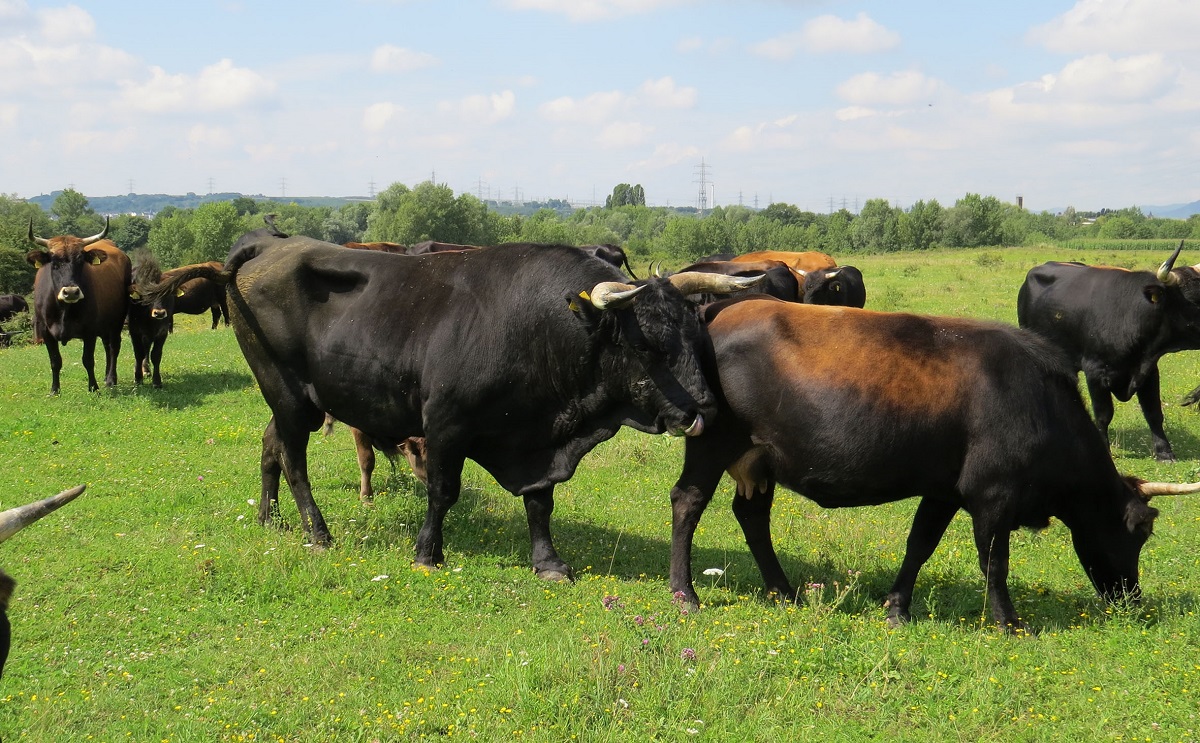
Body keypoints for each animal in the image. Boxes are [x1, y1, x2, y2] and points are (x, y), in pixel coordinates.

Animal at [25, 218, 132, 396]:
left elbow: (88, 360)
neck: (64, 310)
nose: (71, 292)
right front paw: (54, 390)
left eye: (81, 261)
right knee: (107, 346)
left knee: (113, 347)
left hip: (117, 321)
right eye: (54, 263)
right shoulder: (45, 331)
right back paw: (106, 377)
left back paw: (111, 379)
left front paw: (93, 388)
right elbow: (55, 361)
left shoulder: (90, 331)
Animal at [142, 238, 758, 580]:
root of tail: (269, 245)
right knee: (294, 461)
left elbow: (541, 503)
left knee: (271, 446)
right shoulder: (445, 425)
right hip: (290, 396)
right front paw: (426, 553)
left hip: (293, 400)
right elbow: (442, 492)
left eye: (696, 337)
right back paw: (317, 533)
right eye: (648, 345)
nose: (705, 412)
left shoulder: (535, 437)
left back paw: (270, 520)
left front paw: (549, 563)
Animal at [667, 296, 1200, 628]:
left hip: (759, 459)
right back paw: (685, 594)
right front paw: (1009, 622)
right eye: (1140, 530)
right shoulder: (994, 495)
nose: (1130, 598)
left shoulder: (944, 490)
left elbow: (919, 545)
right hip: (712, 443)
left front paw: (896, 608)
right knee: (687, 503)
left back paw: (785, 591)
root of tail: (718, 313)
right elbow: (995, 562)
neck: (1039, 401)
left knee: (752, 516)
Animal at [1017, 243, 1200, 463]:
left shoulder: (1149, 370)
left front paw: (1164, 452)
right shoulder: (1095, 372)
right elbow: (1104, 415)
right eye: (1194, 300)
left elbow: (1153, 411)